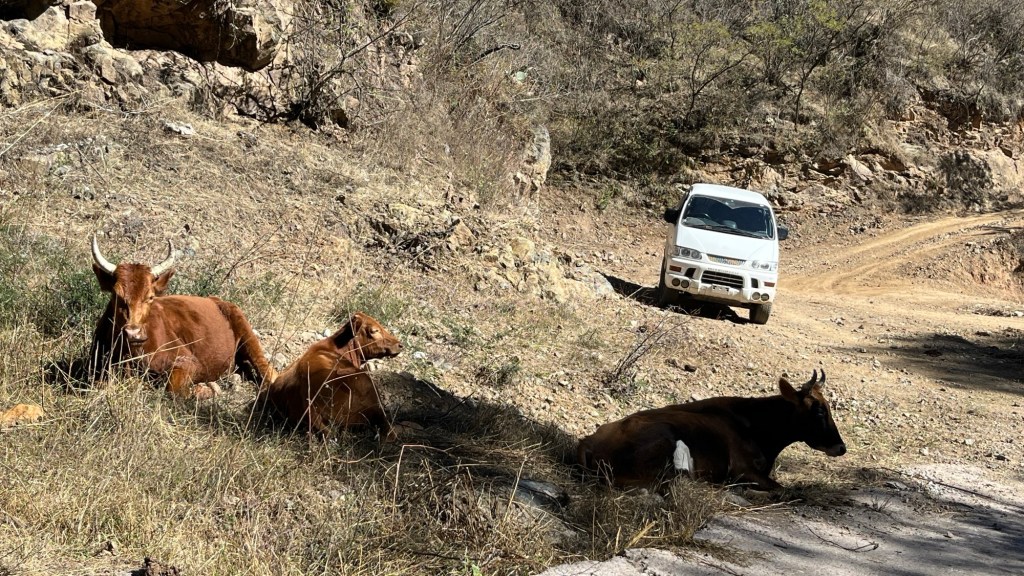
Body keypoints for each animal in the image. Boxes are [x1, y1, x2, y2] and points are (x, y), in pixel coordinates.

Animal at [88, 236, 277, 399]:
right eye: (116, 294)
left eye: (150, 297)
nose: (134, 333)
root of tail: (215, 300)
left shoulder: (187, 361)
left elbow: (173, 389)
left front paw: (201, 390)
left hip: (247, 332)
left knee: (267, 369)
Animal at [577, 370, 846, 491]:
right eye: (818, 411)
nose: (841, 447)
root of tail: (586, 443)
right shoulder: (741, 469)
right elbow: (782, 490)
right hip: (665, 439)